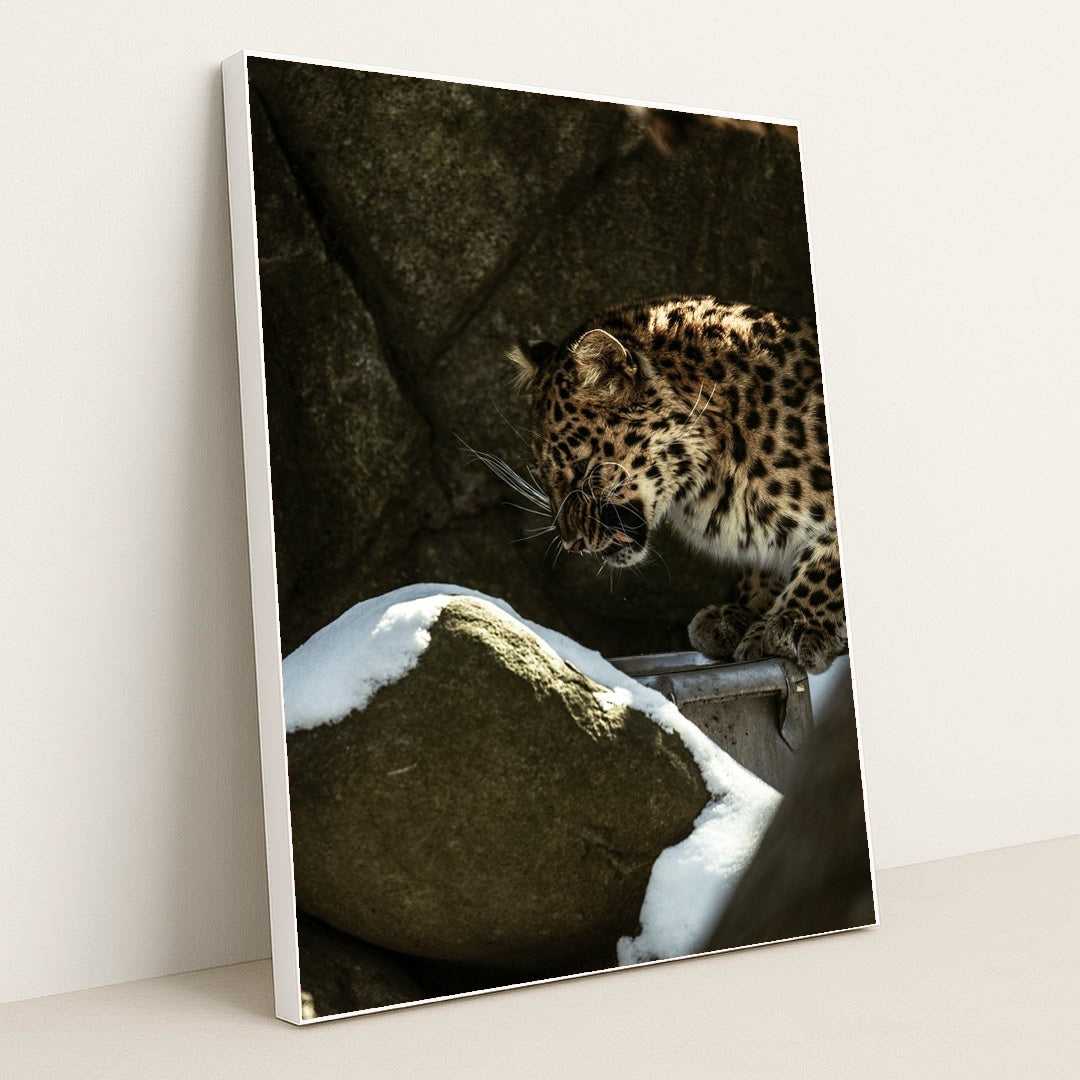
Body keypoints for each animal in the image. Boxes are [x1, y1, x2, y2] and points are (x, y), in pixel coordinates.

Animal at [508, 295, 847, 675]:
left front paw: (793, 622)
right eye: (542, 474)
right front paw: (742, 612)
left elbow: (829, 559)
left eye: (581, 469)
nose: (571, 544)